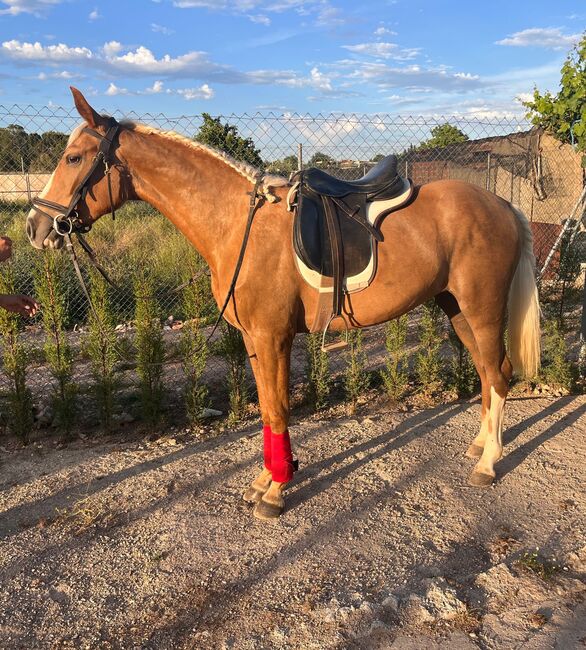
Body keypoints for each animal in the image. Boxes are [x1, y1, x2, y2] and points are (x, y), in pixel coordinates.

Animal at [27, 88, 540, 520]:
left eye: (74, 157)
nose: (35, 226)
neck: (236, 221)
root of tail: (502, 205)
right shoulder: (255, 340)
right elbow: (267, 409)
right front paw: (267, 478)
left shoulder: (273, 336)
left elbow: (278, 408)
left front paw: (275, 491)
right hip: (456, 308)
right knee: (486, 372)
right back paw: (479, 445)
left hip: (482, 309)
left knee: (499, 373)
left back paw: (488, 463)